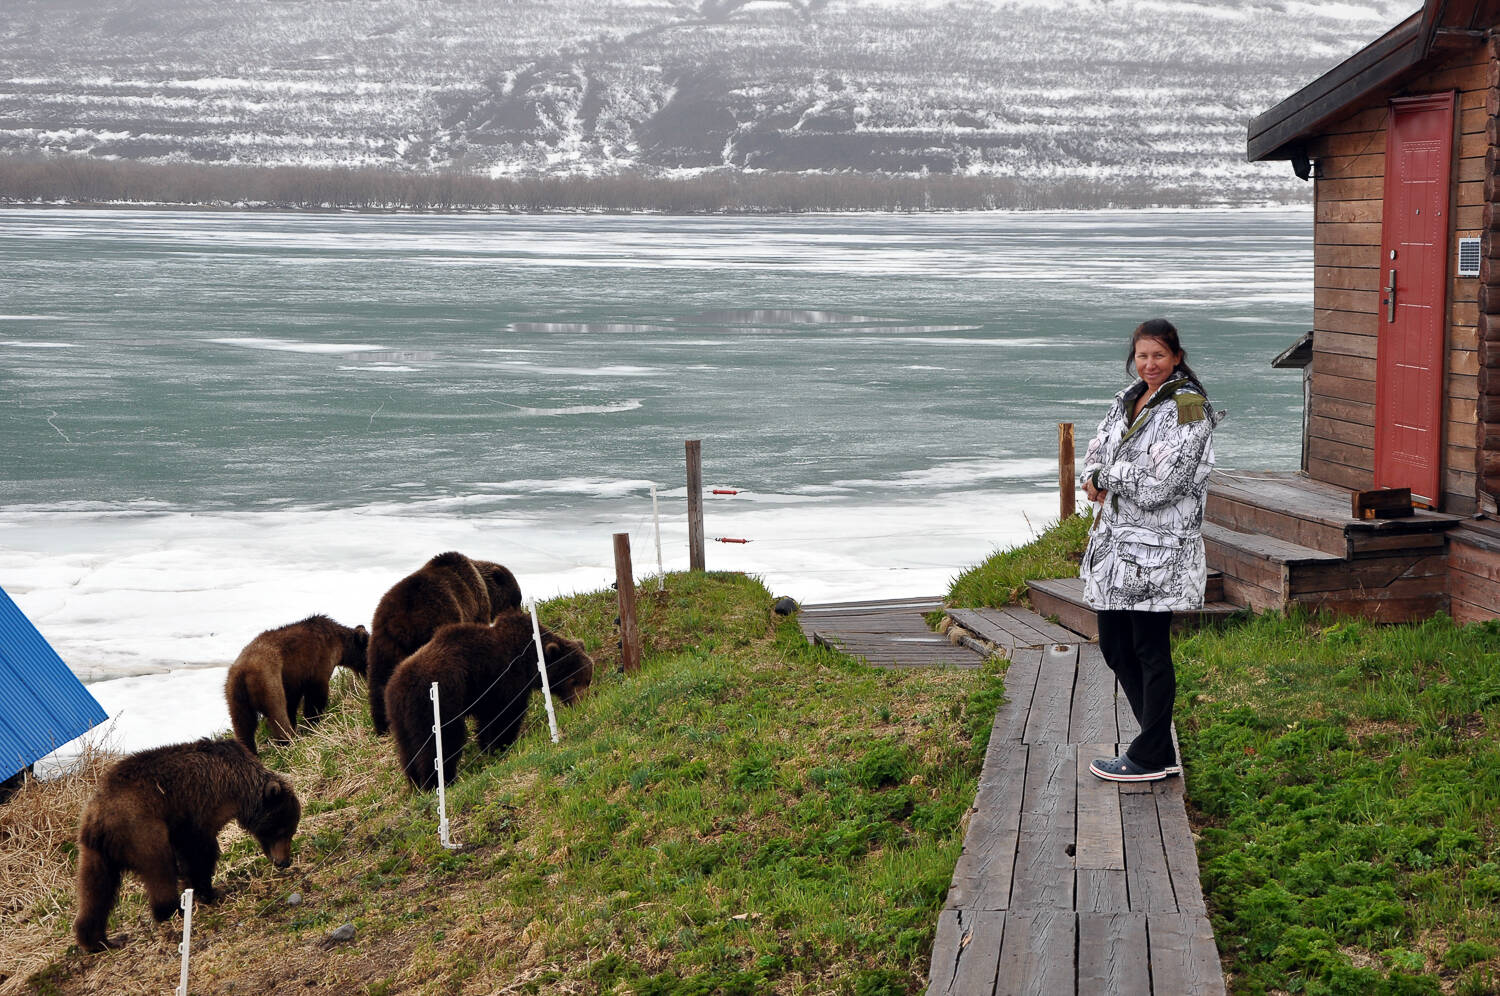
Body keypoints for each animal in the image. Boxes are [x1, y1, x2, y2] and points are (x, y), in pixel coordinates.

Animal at [73, 735, 301, 954]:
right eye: (281, 830)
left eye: (291, 830)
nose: (284, 861)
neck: (240, 788)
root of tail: (98, 821)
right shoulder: (201, 805)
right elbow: (199, 851)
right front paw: (209, 891)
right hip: (141, 829)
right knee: (160, 869)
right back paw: (172, 910)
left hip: (93, 852)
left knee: (95, 890)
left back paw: (99, 941)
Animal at [226, 615, 370, 756]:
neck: (339, 645)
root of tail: (244, 672)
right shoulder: (319, 662)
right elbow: (315, 695)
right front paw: (313, 722)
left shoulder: (294, 678)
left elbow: (293, 701)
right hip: (268, 681)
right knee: (277, 714)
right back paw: (288, 741)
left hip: (234, 694)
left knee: (243, 724)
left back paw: (250, 749)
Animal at [363, 549, 522, 735]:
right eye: (516, 600)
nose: (520, 613)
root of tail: (401, 622)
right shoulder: (475, 608)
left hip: (382, 643)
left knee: (379, 682)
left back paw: (383, 725)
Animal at [387, 612, 591, 792]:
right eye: (574, 680)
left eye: (587, 679)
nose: (581, 703)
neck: (530, 658)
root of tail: (400, 685)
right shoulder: (502, 677)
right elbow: (505, 715)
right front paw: (500, 746)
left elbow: (489, 720)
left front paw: (488, 747)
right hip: (437, 703)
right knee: (443, 740)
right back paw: (439, 782)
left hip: (400, 718)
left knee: (408, 749)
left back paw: (415, 784)